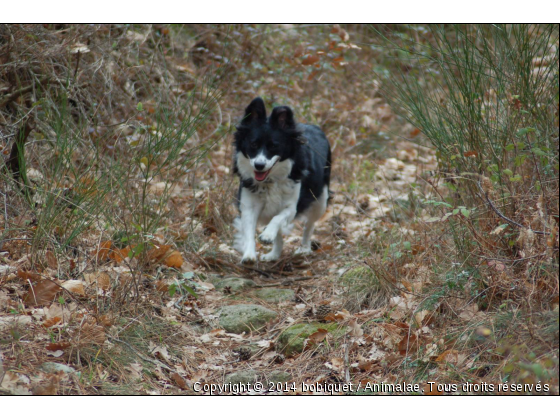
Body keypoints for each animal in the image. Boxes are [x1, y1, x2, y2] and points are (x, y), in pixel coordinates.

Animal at [233, 97, 330, 264]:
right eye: (253, 144)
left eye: (274, 146)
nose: (259, 165)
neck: (269, 181)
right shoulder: (248, 205)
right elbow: (249, 229)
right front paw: (249, 255)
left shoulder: (291, 206)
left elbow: (278, 218)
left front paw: (267, 235)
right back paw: (274, 254)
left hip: (321, 201)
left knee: (309, 225)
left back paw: (304, 248)